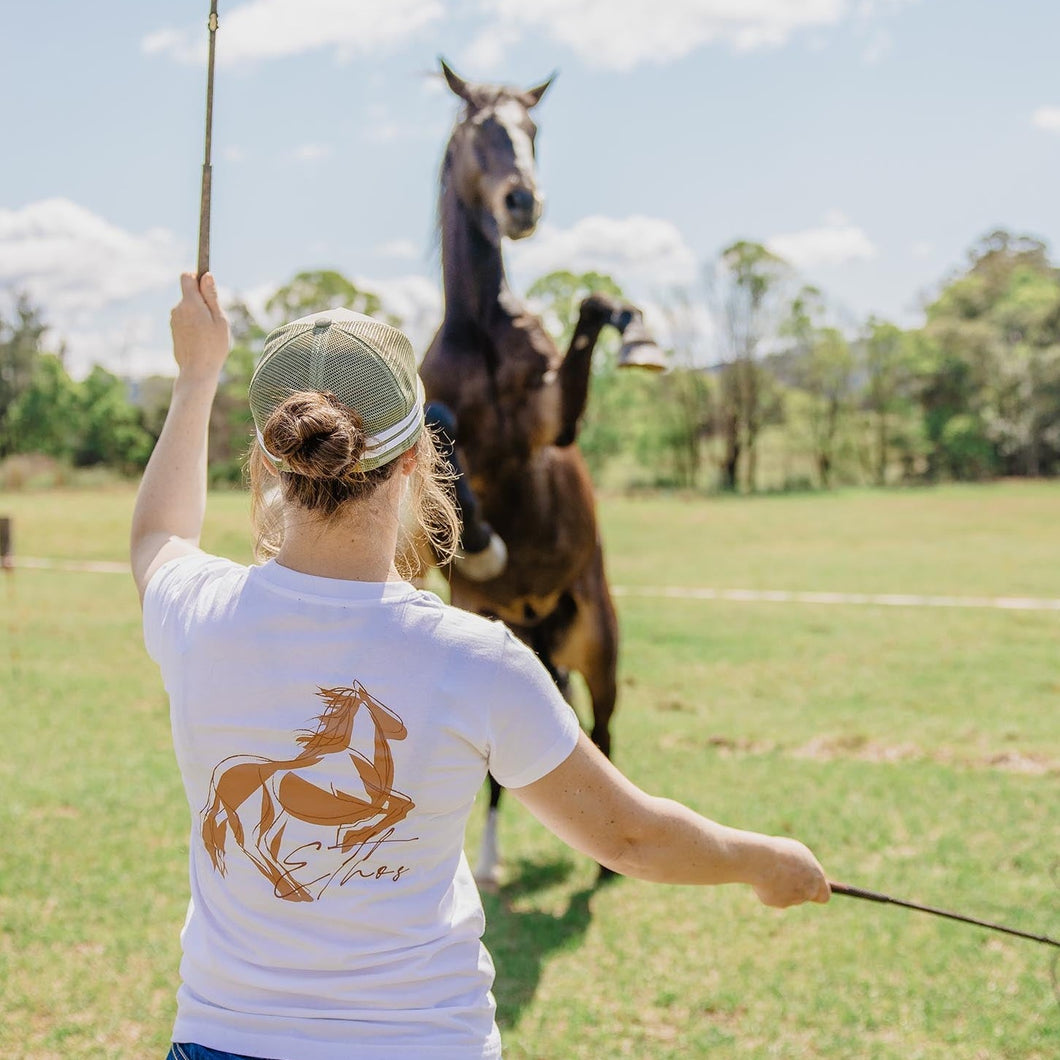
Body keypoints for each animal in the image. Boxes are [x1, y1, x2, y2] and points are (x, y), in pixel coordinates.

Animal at [415, 60, 657, 886]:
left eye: (532, 129)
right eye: (476, 132)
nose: (522, 202)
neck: (482, 329)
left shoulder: (552, 422)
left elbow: (590, 306)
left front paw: (632, 329)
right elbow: (441, 431)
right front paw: (485, 544)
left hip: (599, 644)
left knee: (605, 732)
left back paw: (609, 868)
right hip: (513, 647)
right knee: (505, 769)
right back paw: (488, 862)